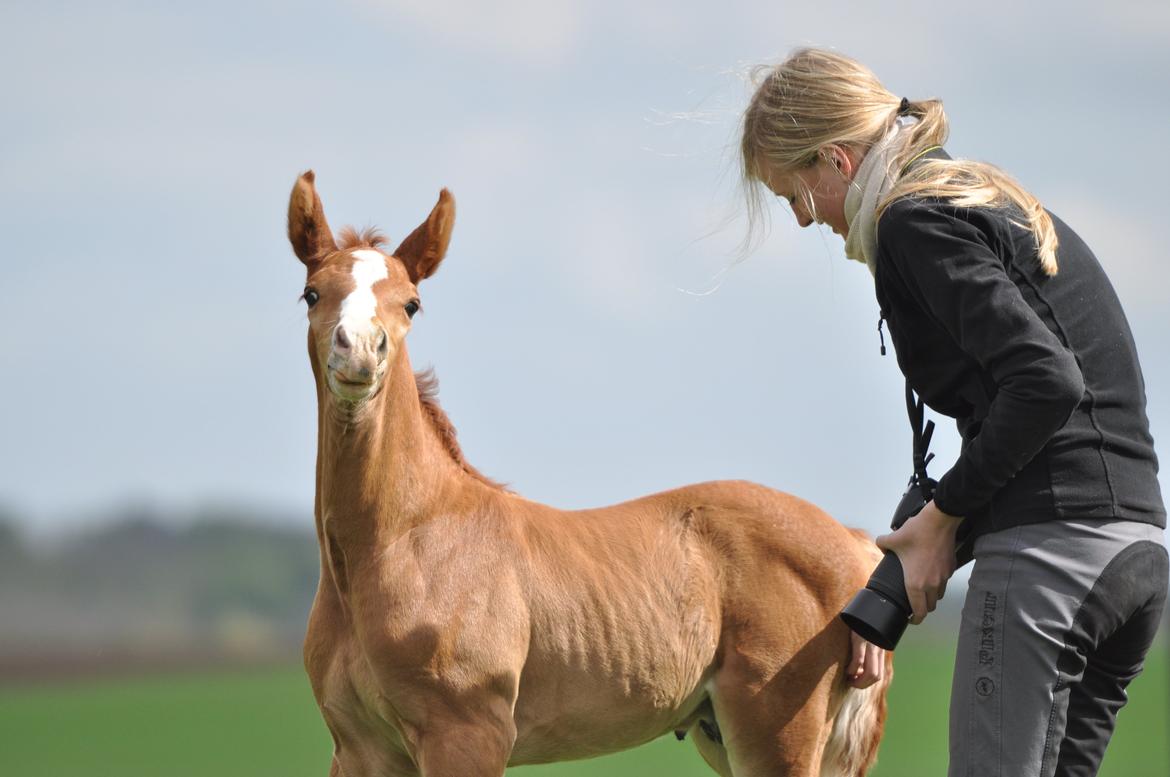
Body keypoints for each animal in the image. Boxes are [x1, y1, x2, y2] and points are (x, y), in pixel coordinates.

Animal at [287, 172, 889, 777]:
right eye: (312, 293)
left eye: (412, 303)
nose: (360, 354)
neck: (405, 540)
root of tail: (856, 545)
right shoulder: (361, 750)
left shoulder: (466, 737)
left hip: (778, 737)